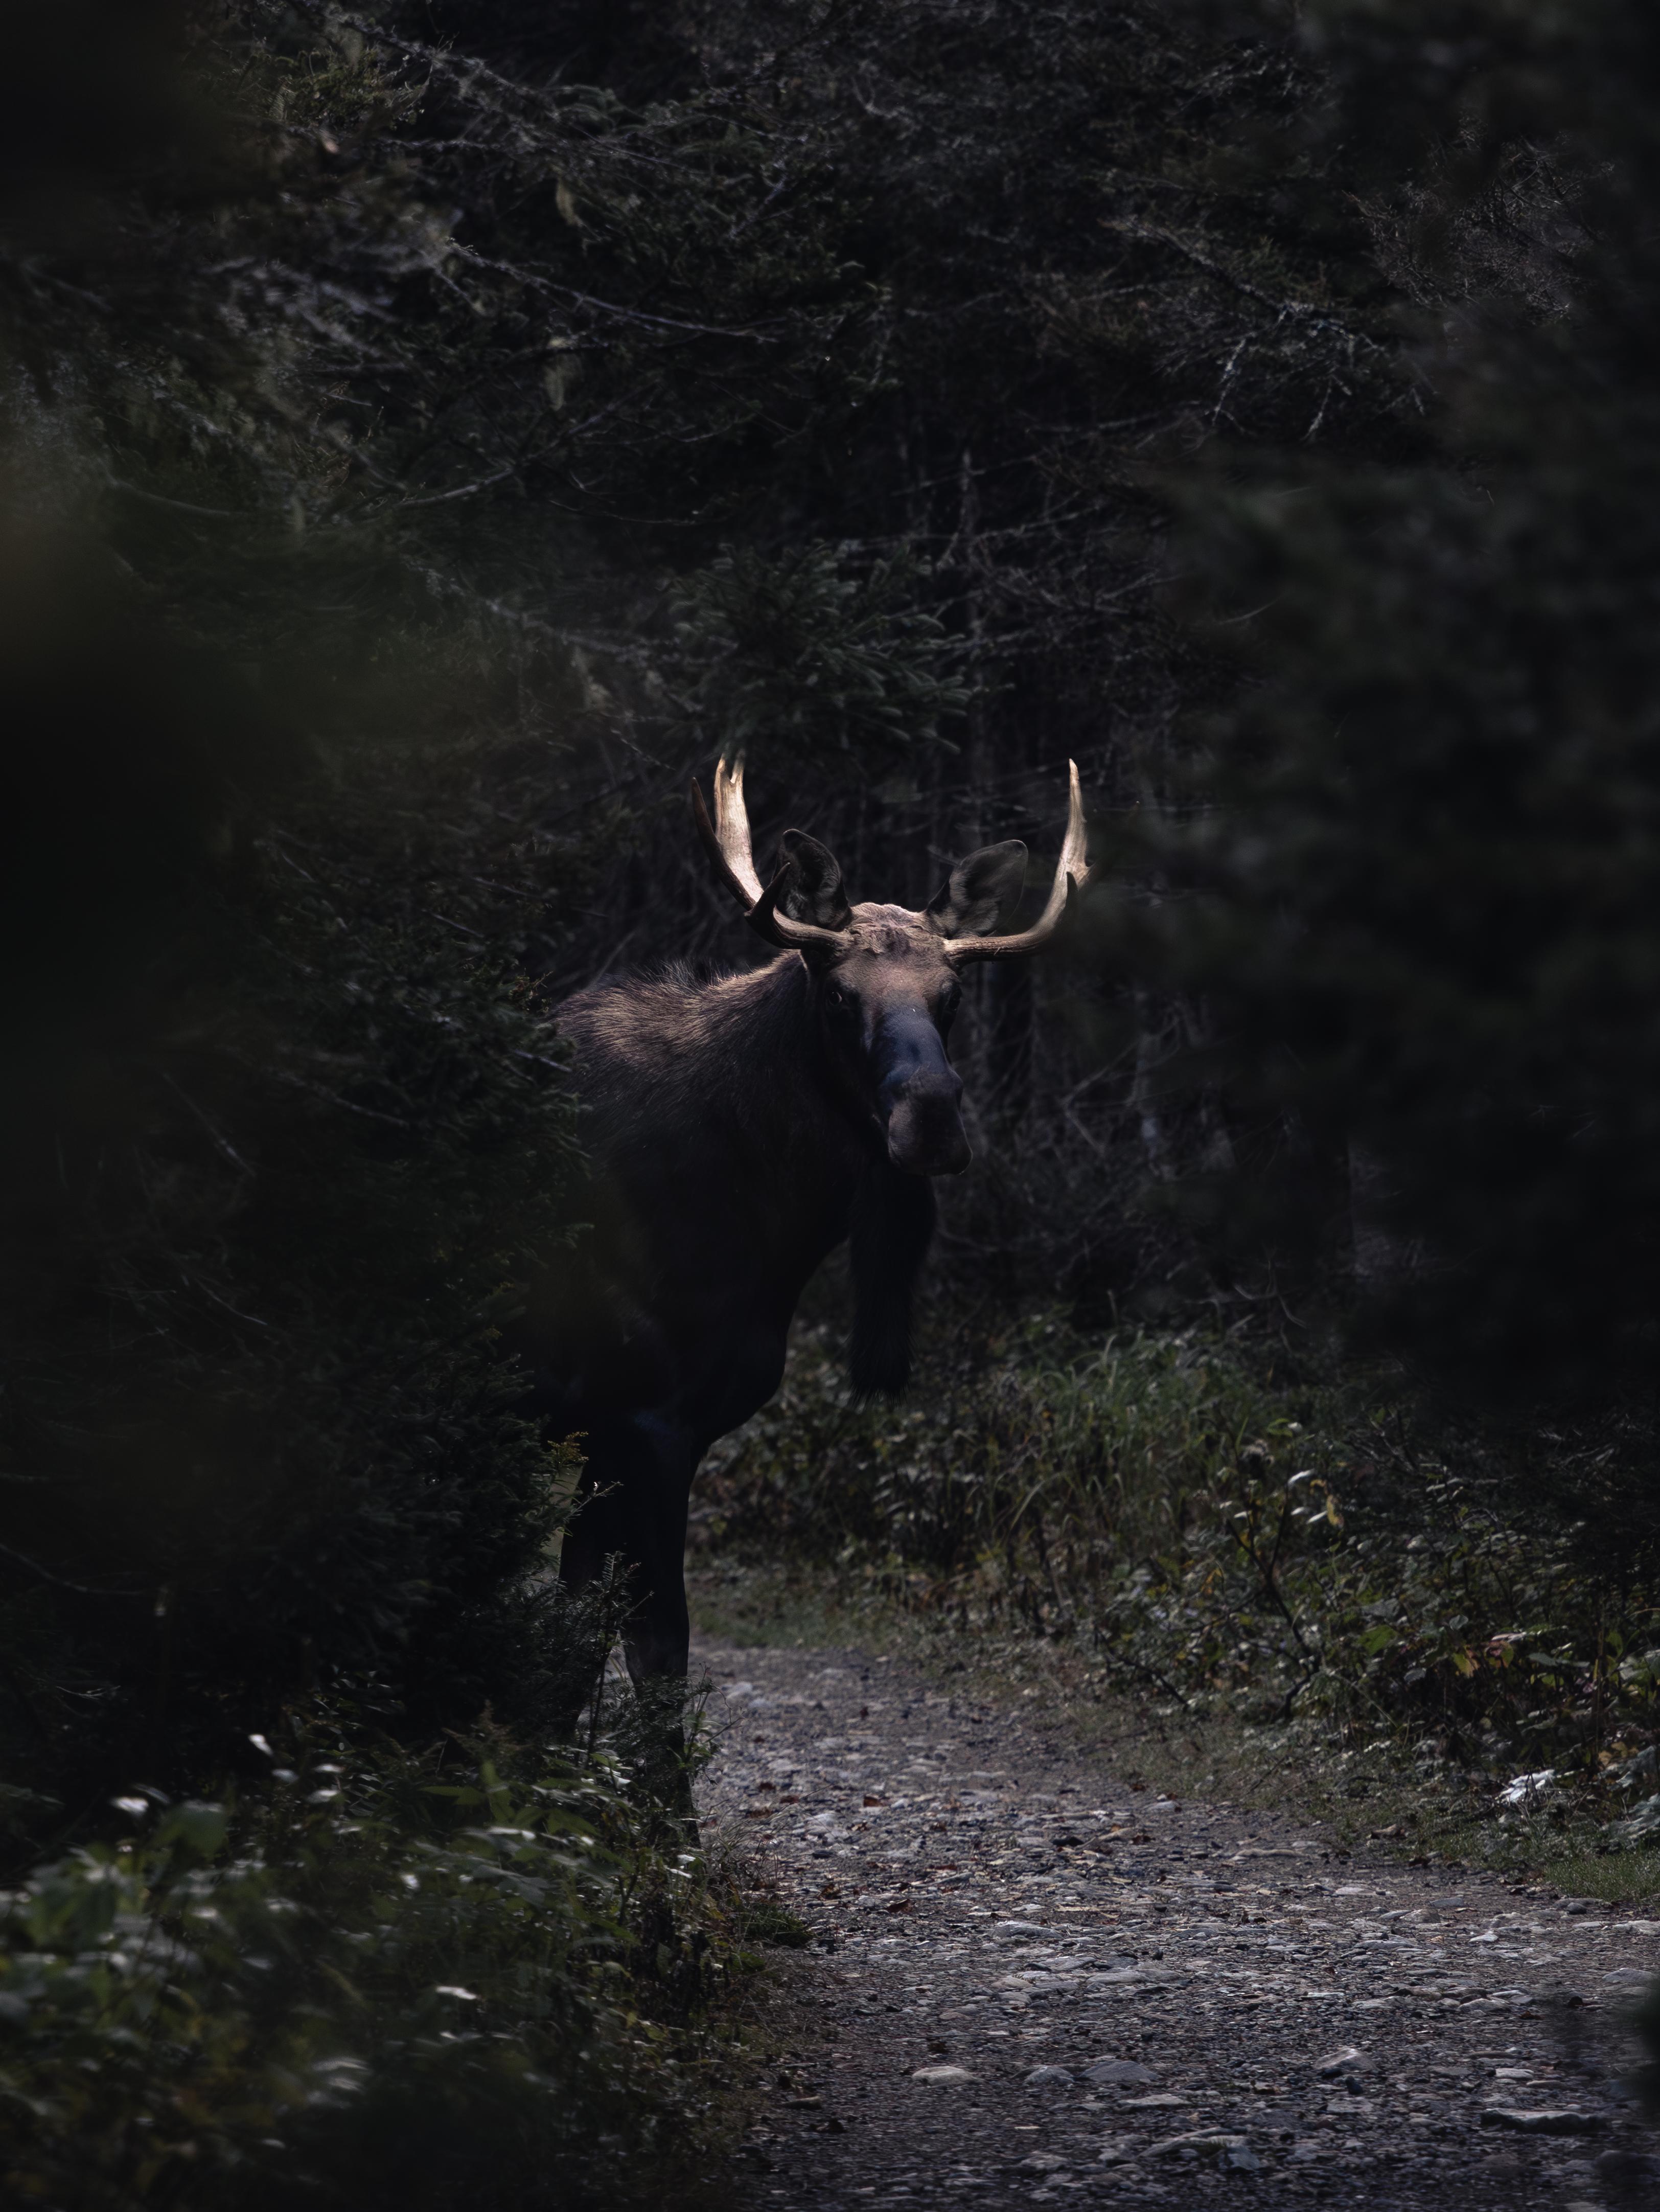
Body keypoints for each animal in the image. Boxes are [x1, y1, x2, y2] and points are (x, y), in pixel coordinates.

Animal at [518, 756, 1090, 1748]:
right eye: (836, 992)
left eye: (950, 997)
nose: (930, 1115)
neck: (770, 1233)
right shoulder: (646, 1416)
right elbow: (656, 1655)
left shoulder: (616, 1426)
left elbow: (574, 1645)